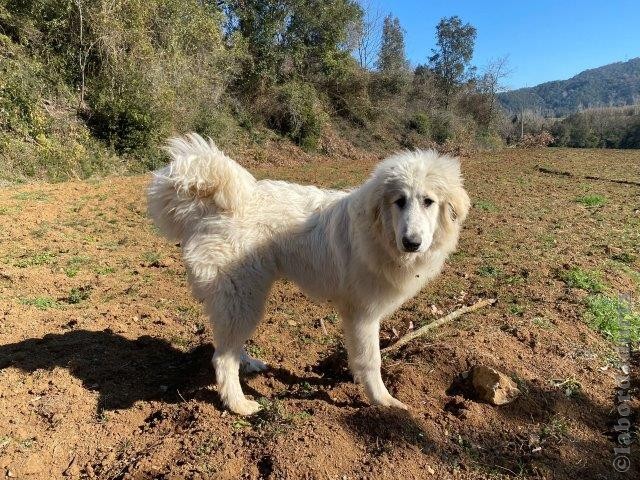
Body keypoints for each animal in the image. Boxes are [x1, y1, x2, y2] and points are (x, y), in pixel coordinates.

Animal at [149, 133, 470, 414]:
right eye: (399, 201)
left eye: (428, 201)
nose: (412, 242)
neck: (380, 232)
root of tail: (212, 206)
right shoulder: (363, 314)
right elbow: (371, 360)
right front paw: (383, 402)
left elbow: (358, 356)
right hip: (244, 297)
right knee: (222, 358)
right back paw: (239, 405)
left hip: (239, 300)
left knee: (227, 345)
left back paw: (248, 364)